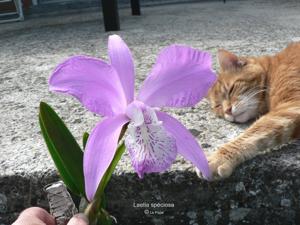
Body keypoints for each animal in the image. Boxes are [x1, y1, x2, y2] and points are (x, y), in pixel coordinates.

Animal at [202, 41, 300, 179]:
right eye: (218, 106)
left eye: (230, 90)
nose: (227, 110)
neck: (271, 70)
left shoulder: (291, 106)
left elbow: (253, 133)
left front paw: (219, 157)